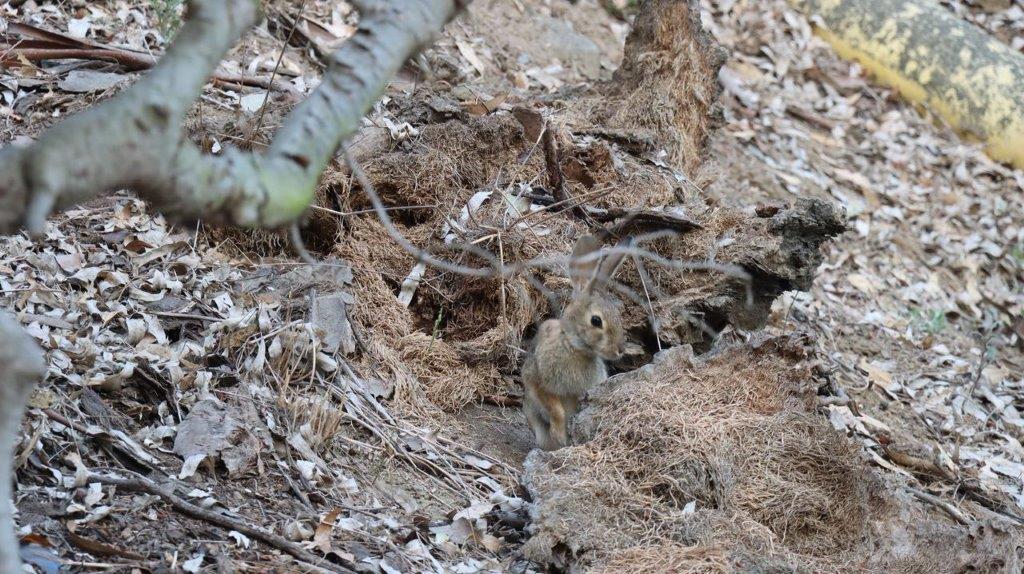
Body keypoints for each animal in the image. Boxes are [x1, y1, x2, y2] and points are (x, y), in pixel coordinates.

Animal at [524, 235, 626, 450]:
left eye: (618, 316)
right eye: (596, 320)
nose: (620, 350)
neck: (574, 347)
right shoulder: (538, 383)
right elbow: (555, 409)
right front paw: (559, 435)